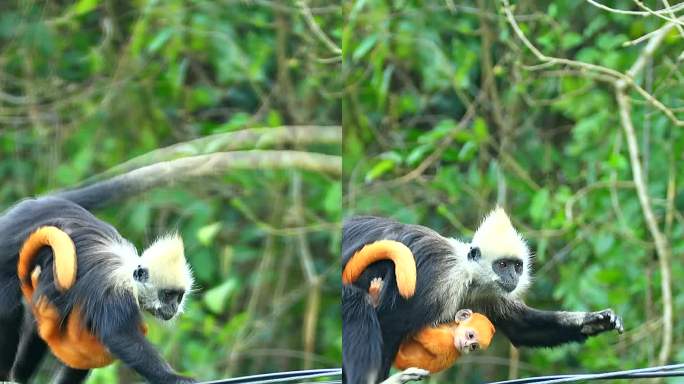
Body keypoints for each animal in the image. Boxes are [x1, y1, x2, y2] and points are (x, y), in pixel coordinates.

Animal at [342, 208, 624, 382]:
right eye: (502, 265)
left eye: (516, 266)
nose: (513, 277)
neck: (468, 274)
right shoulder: (437, 283)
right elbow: (388, 323)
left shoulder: (485, 295)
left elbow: (521, 329)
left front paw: (595, 321)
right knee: (359, 303)